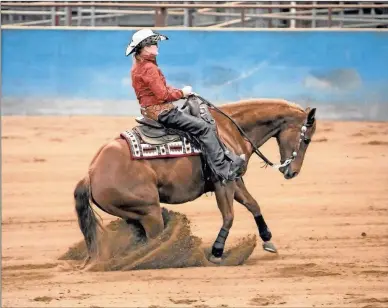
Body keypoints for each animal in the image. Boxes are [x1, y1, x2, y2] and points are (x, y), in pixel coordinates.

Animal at [74, 96, 316, 264]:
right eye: (306, 139)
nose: (293, 172)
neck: (228, 129)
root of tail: (91, 173)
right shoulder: (223, 183)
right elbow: (229, 216)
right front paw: (217, 252)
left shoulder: (235, 180)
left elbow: (253, 205)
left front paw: (268, 240)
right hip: (149, 211)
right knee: (156, 240)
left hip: (133, 214)